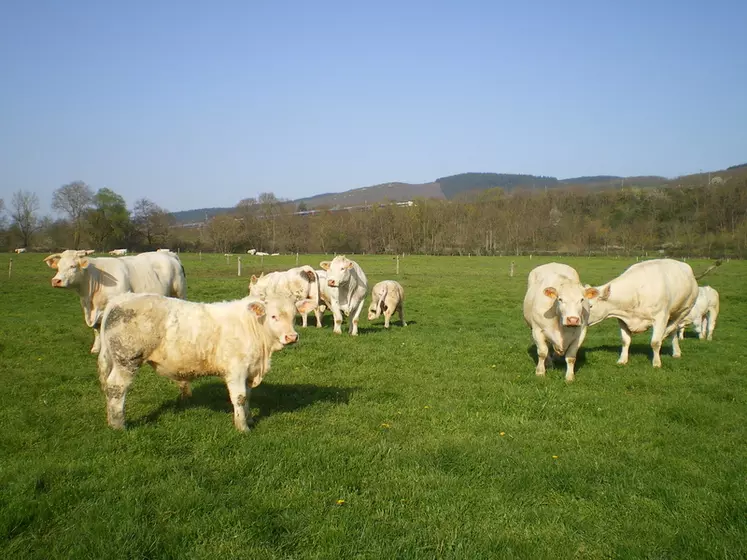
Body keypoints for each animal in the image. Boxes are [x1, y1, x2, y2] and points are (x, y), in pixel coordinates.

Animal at [42, 250, 187, 352]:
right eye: (58, 267)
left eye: (72, 266)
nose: (56, 281)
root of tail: (169, 254)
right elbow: (96, 329)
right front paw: (96, 348)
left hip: (179, 292)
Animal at [98, 294, 312, 434]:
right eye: (274, 316)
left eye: (294, 316)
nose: (292, 337)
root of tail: (120, 299)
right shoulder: (236, 371)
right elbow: (240, 398)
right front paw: (243, 427)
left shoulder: (250, 371)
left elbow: (248, 397)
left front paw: (250, 419)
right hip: (126, 360)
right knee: (116, 388)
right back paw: (119, 425)